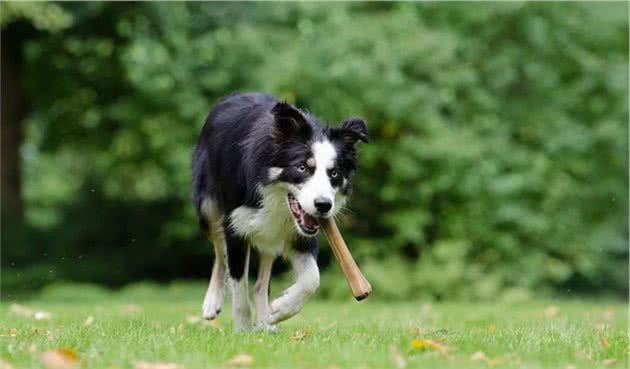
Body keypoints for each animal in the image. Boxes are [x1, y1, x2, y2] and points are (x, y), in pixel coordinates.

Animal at [193, 92, 370, 330]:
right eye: (302, 168)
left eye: (334, 173)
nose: (323, 205)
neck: (274, 197)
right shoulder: (235, 226)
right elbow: (238, 285)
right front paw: (242, 329)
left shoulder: (301, 235)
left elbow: (312, 278)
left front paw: (280, 310)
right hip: (208, 205)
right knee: (219, 253)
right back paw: (213, 302)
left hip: (270, 235)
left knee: (260, 282)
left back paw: (264, 322)